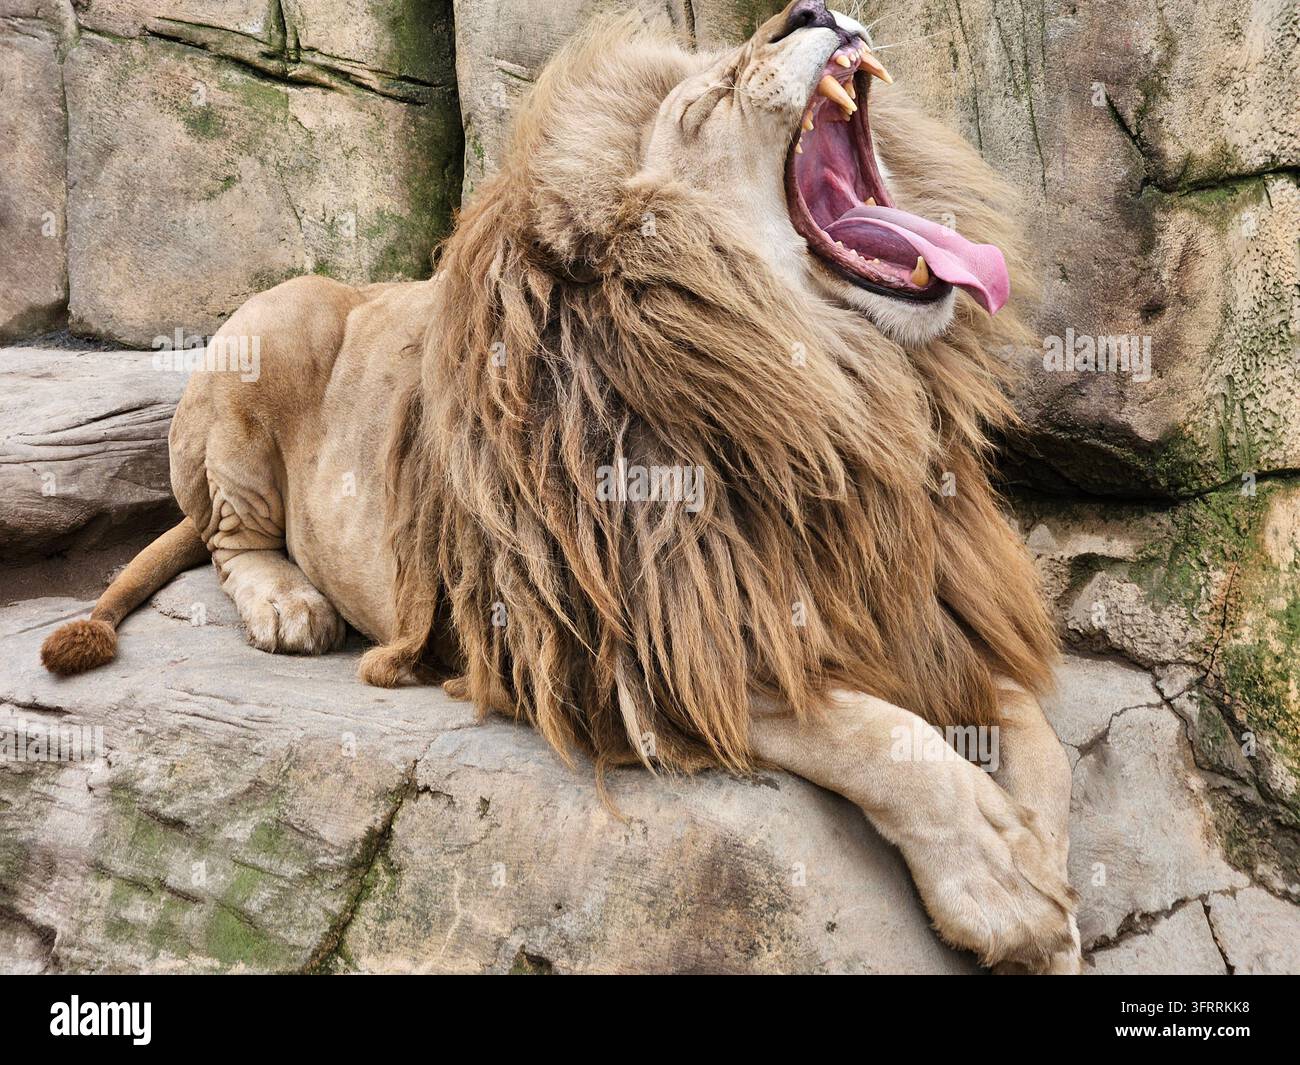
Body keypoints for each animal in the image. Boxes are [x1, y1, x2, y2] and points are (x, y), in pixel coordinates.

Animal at [40, 0, 1079, 972]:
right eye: (707, 99)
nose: (810, 11)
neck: (829, 394)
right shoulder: (641, 647)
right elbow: (868, 731)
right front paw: (999, 884)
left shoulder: (925, 607)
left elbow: (1035, 733)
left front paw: (1049, 877)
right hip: (274, 322)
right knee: (230, 537)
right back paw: (288, 605)